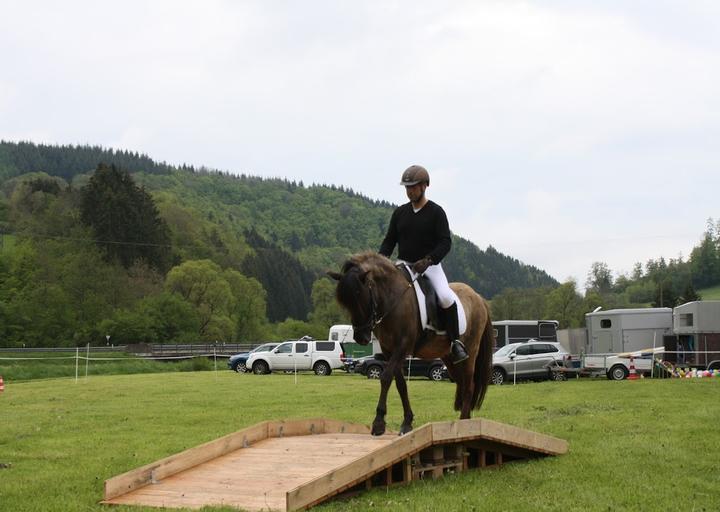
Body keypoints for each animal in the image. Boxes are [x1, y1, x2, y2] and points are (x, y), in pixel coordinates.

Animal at [328, 252, 492, 436]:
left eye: (360, 296)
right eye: (345, 303)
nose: (361, 337)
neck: (393, 299)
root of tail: (479, 297)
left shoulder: (403, 346)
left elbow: (386, 377)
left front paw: (378, 423)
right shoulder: (389, 350)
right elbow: (401, 384)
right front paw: (407, 422)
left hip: (471, 351)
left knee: (469, 385)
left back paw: (464, 422)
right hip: (449, 357)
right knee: (462, 383)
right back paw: (467, 422)